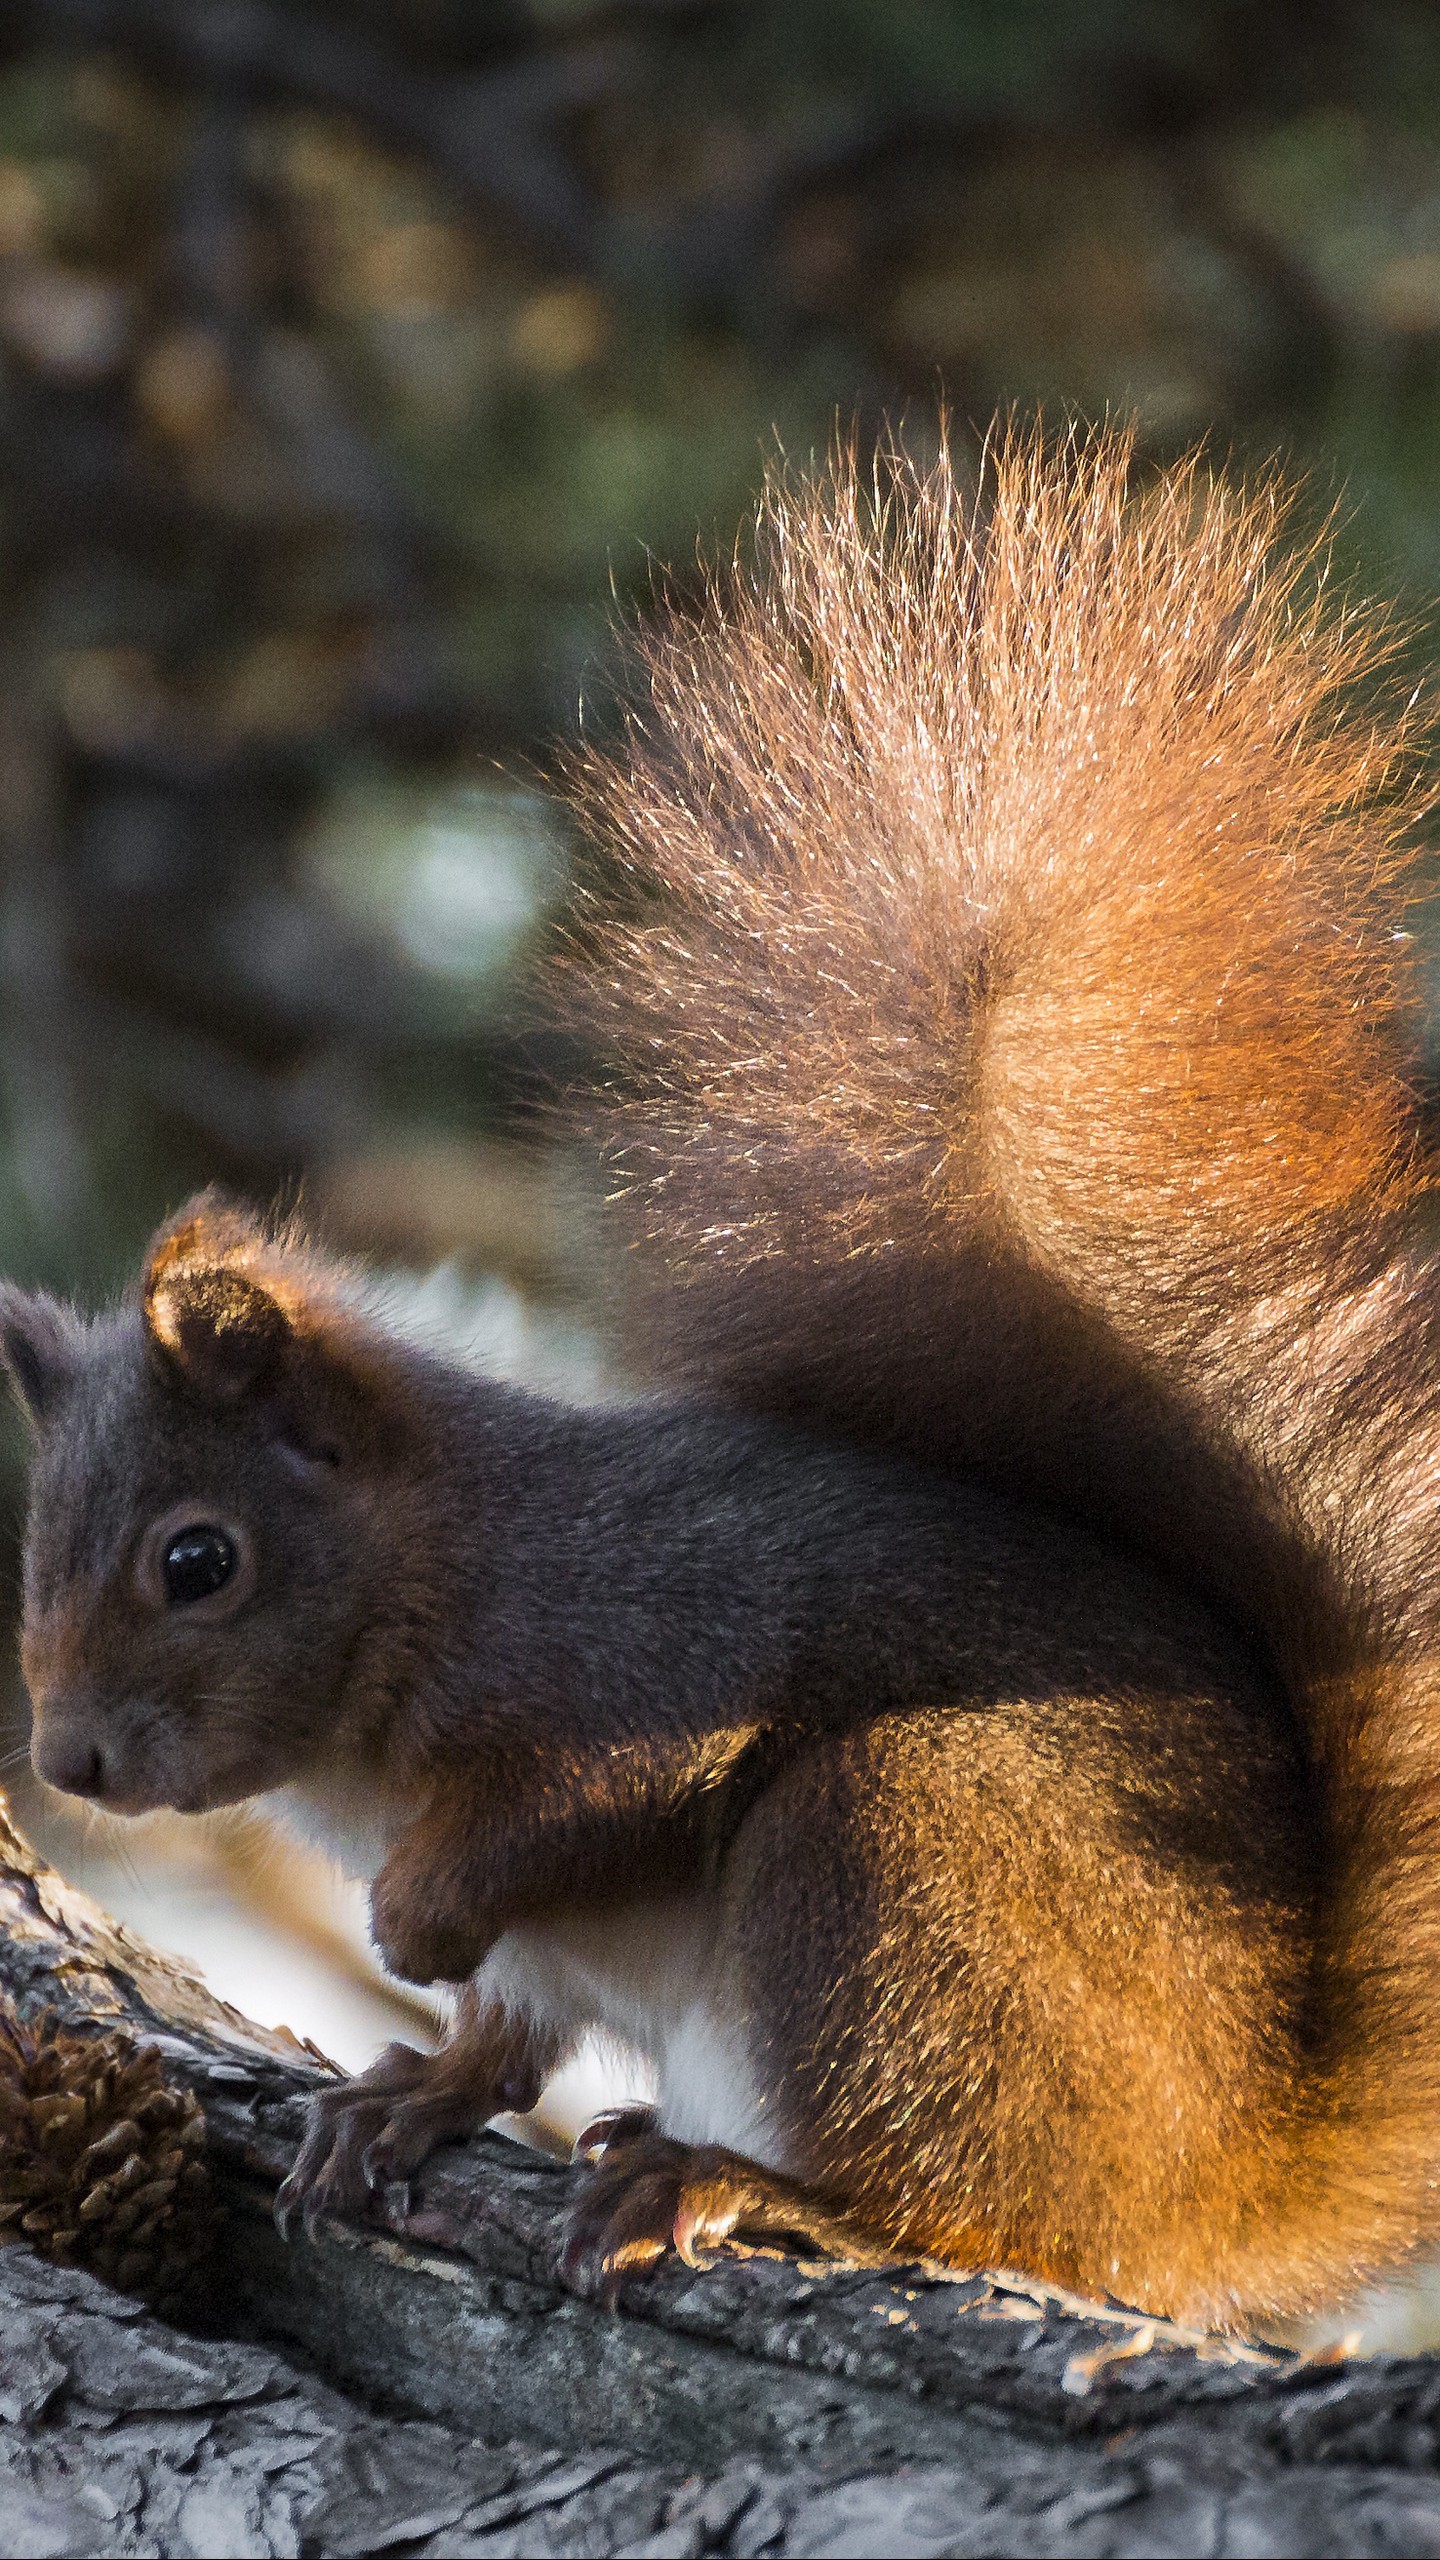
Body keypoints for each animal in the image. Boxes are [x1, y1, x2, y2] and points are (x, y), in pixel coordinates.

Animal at [0, 424, 1424, 2344]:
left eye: (197, 1561)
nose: (69, 1757)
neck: (435, 1579)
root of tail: (1223, 2184)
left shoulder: (643, 1652)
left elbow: (580, 1805)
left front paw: (415, 1926)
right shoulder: (548, 1941)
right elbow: (508, 2030)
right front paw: (404, 2091)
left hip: (897, 1855)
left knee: (979, 2204)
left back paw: (756, 2187)